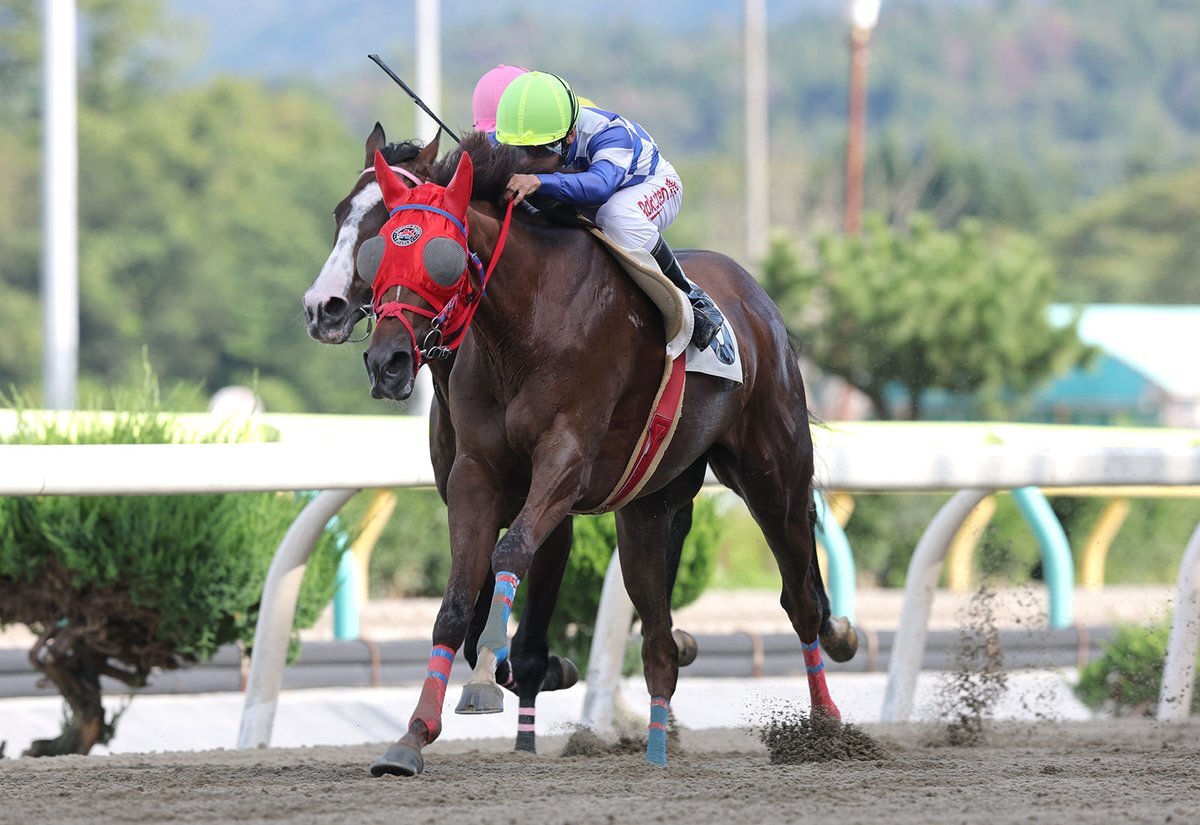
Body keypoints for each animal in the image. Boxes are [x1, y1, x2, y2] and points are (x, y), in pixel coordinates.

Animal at [301, 124, 585, 756]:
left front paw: (538, 670)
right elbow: (470, 604)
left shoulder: (554, 496)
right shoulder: (467, 489)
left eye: (384, 223)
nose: (321, 307)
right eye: (338, 213)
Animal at [359, 132, 858, 776]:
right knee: (659, 638)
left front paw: (486, 678)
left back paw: (826, 727)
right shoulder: (476, 472)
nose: (387, 362)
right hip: (648, 506)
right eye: (376, 256)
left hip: (776, 478)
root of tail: (755, 298)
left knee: (799, 600)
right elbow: (455, 599)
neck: (524, 320)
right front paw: (412, 736)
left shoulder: (566, 460)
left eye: (440, 257)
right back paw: (656, 747)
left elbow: (511, 551)